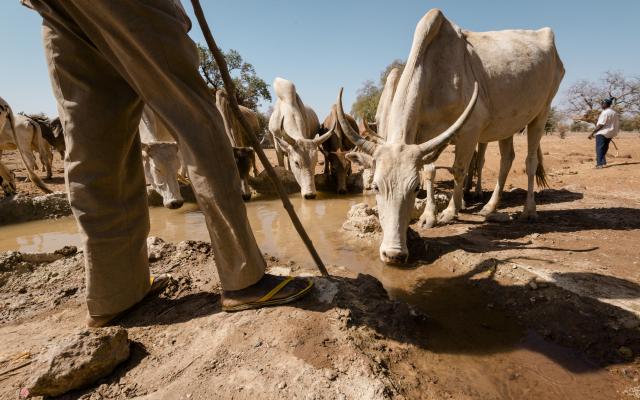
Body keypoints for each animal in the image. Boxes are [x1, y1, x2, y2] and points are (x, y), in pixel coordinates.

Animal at [338, 8, 564, 262]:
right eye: (376, 187)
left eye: (414, 189)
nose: (394, 254)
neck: (433, 72)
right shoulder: (425, 136)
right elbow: (430, 171)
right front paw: (429, 216)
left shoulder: (470, 130)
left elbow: (458, 169)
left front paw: (451, 211)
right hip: (507, 124)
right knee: (507, 159)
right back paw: (490, 207)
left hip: (542, 112)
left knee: (530, 160)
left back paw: (529, 210)